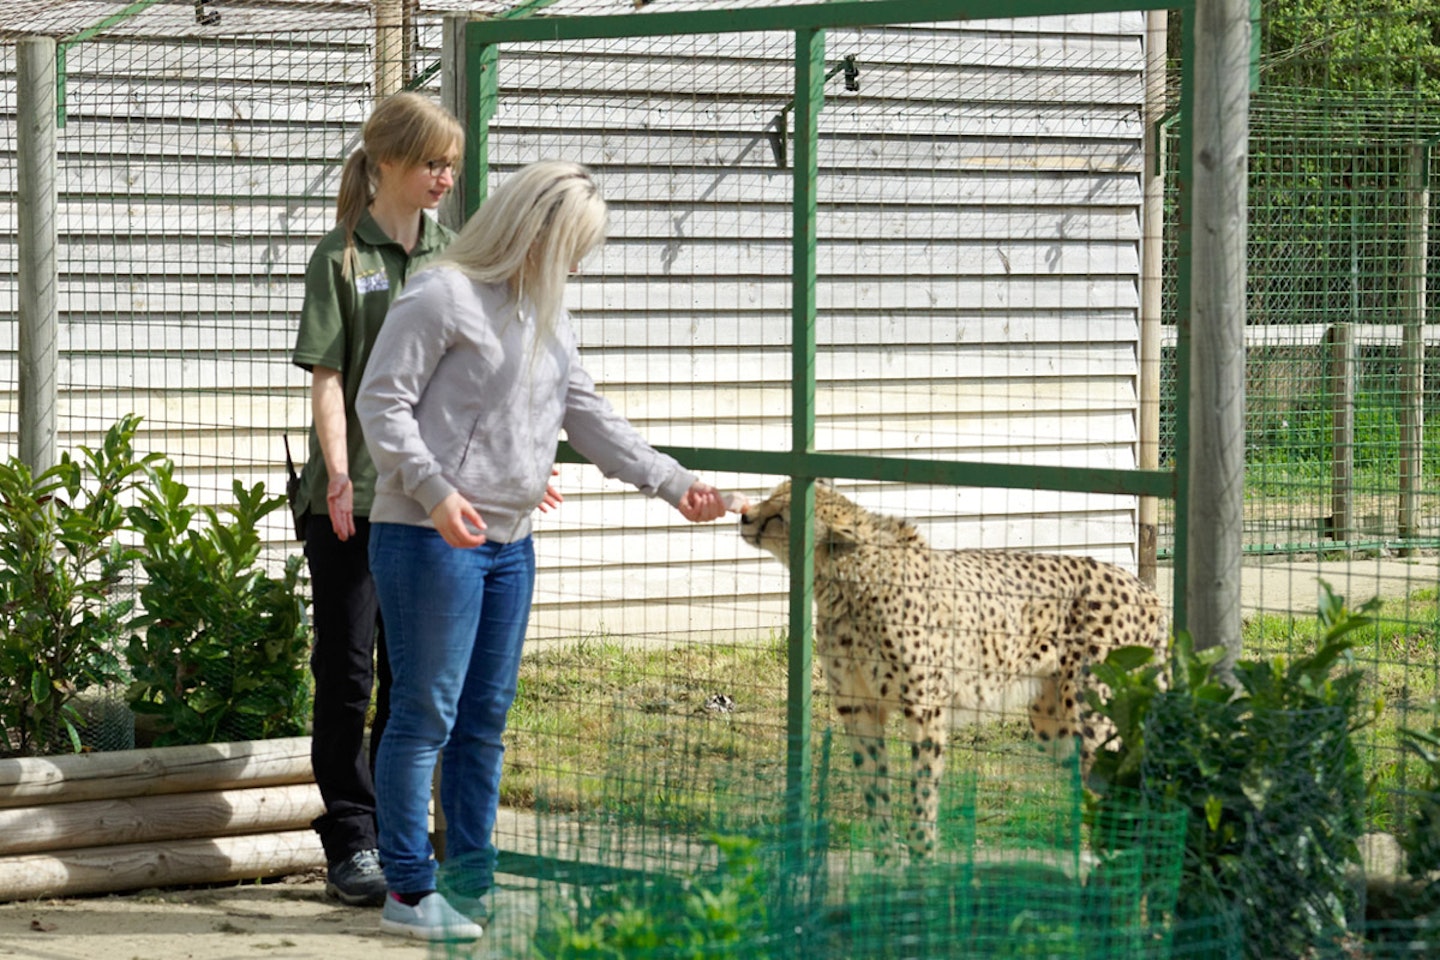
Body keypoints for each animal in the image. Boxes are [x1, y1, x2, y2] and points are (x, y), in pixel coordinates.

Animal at [737, 483, 1163, 857]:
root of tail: (1145, 588)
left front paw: (921, 862)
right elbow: (875, 790)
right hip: (1053, 723)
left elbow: (922, 791)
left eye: (779, 514)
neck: (845, 581)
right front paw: (887, 862)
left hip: (1094, 714)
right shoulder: (858, 707)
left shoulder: (925, 708)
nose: (743, 515)